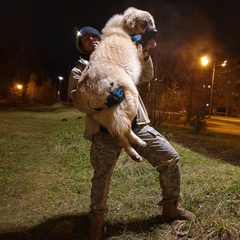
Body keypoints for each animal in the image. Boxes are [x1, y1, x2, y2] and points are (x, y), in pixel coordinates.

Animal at [74, 7, 157, 161]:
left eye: (151, 23)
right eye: (144, 24)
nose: (156, 32)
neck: (125, 27)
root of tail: (85, 90)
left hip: (107, 113)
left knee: (121, 132)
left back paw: (136, 147)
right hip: (130, 98)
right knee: (123, 130)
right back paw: (135, 148)